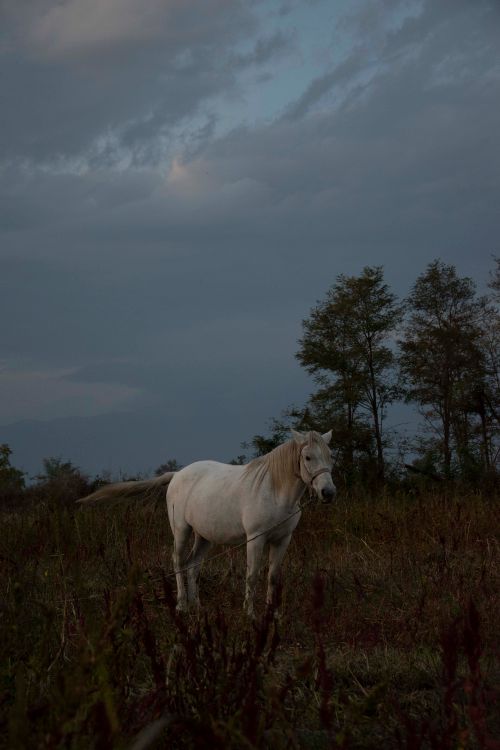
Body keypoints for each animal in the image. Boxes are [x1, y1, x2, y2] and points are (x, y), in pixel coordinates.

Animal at [78, 429, 335, 616]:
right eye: (308, 457)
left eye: (330, 456)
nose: (328, 493)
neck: (274, 491)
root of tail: (177, 474)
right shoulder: (256, 539)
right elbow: (252, 575)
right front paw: (250, 614)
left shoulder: (282, 540)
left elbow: (273, 577)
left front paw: (273, 614)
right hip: (181, 530)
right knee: (179, 561)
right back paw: (182, 605)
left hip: (204, 536)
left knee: (193, 564)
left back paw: (197, 606)